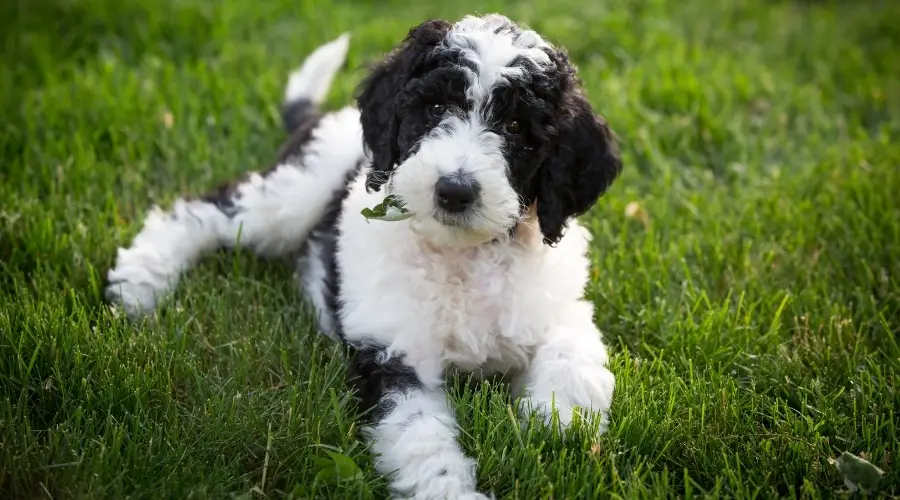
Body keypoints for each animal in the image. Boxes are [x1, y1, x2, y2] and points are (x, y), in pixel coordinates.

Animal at [105, 14, 624, 500]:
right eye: (436, 107)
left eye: (516, 127)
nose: (454, 191)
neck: (460, 255)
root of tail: (320, 119)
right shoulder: (392, 357)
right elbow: (420, 438)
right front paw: (449, 490)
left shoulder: (558, 304)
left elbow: (573, 351)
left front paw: (557, 422)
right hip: (291, 194)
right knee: (203, 211)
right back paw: (139, 281)